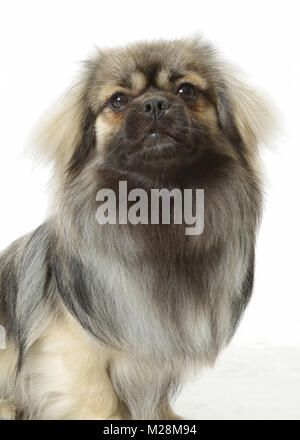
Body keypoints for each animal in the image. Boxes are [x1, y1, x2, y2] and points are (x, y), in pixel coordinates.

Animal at [0, 38, 274, 420]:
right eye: (118, 100)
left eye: (187, 90)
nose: (155, 104)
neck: (160, 203)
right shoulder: (71, 349)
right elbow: (100, 401)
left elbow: (155, 396)